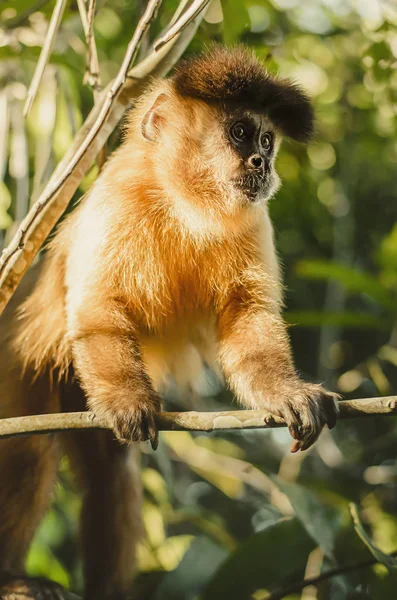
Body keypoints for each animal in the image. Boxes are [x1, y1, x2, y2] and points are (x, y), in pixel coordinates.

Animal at [0, 48, 338, 600]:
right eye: (240, 133)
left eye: (267, 140)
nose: (262, 163)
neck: (184, 203)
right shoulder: (115, 198)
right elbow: (95, 311)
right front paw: (130, 403)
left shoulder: (253, 219)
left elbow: (248, 321)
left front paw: (288, 394)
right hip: (23, 361)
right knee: (27, 447)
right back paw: (13, 577)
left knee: (109, 470)